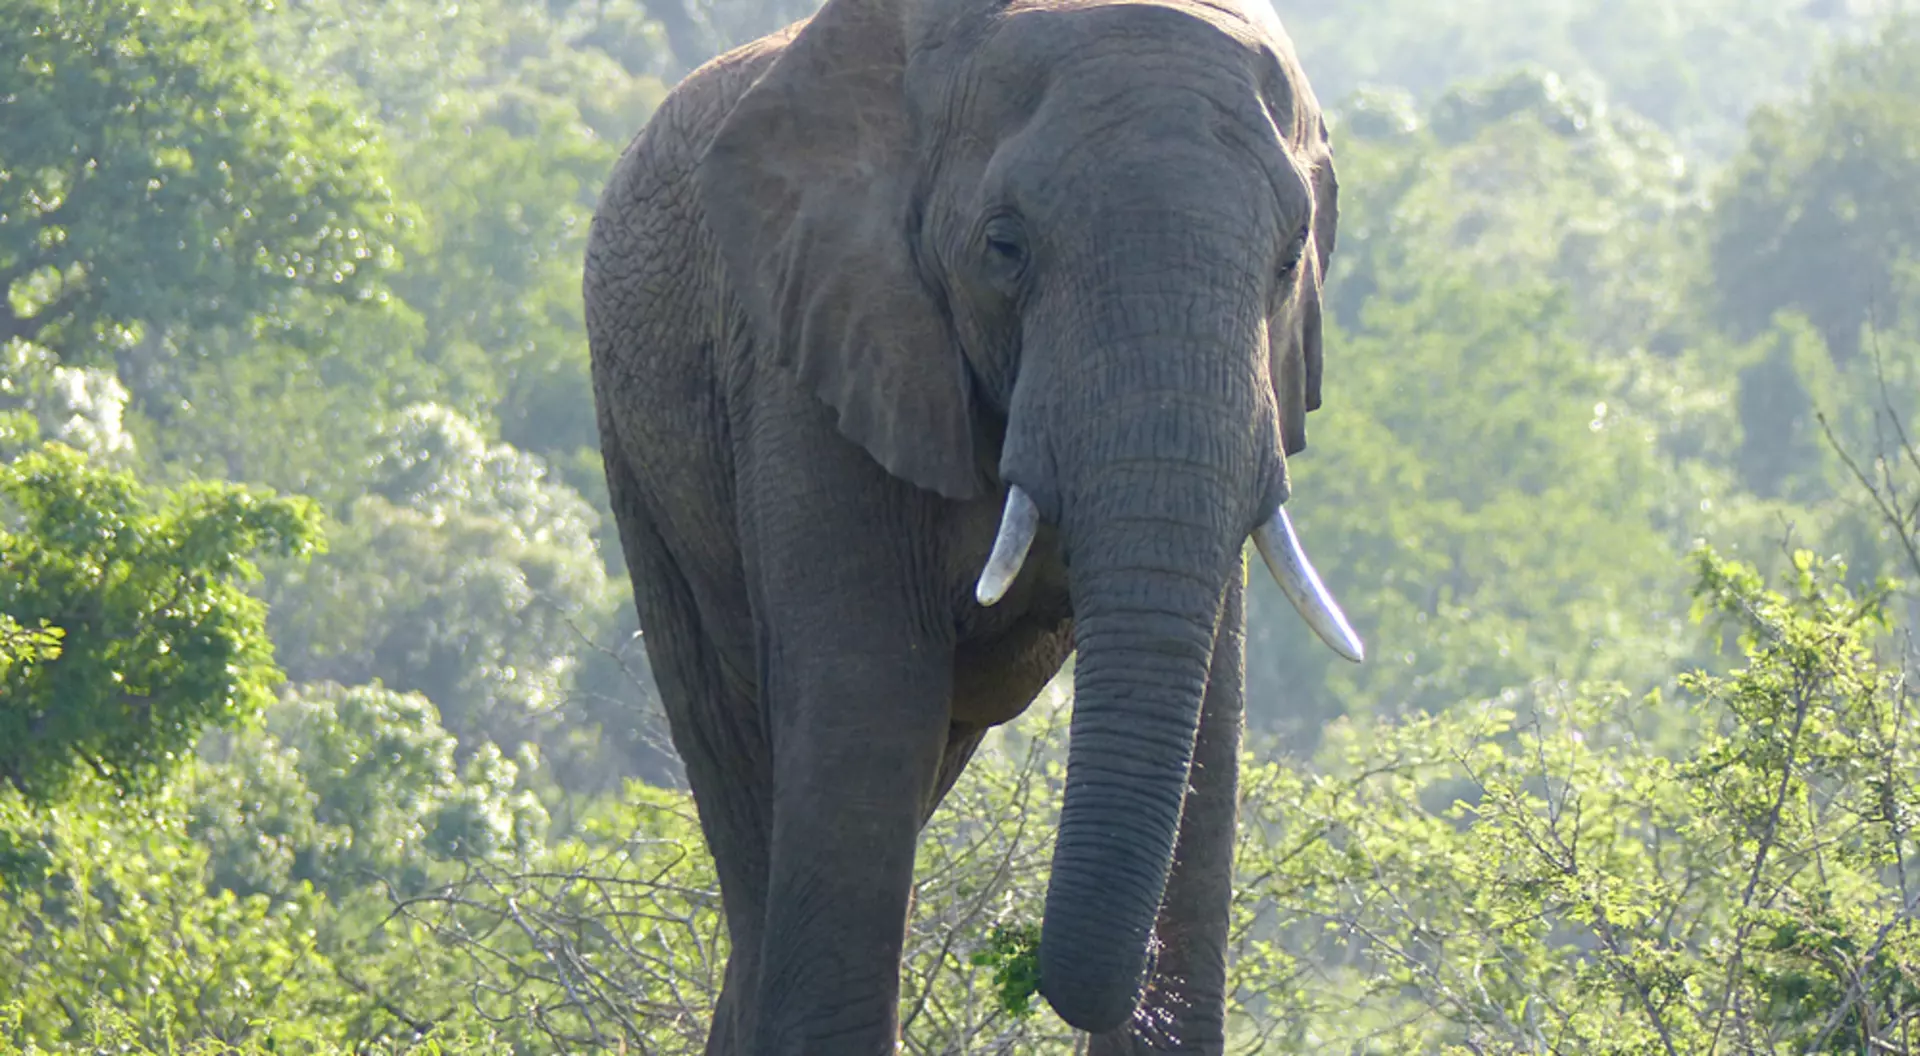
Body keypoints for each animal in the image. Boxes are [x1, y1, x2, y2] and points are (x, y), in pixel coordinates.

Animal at [581, 0, 1362, 1047]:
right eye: (1006, 247)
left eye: (1288, 260)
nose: (1076, 984)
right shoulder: (809, 354)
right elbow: (867, 712)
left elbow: (1208, 725)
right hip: (638, 451)